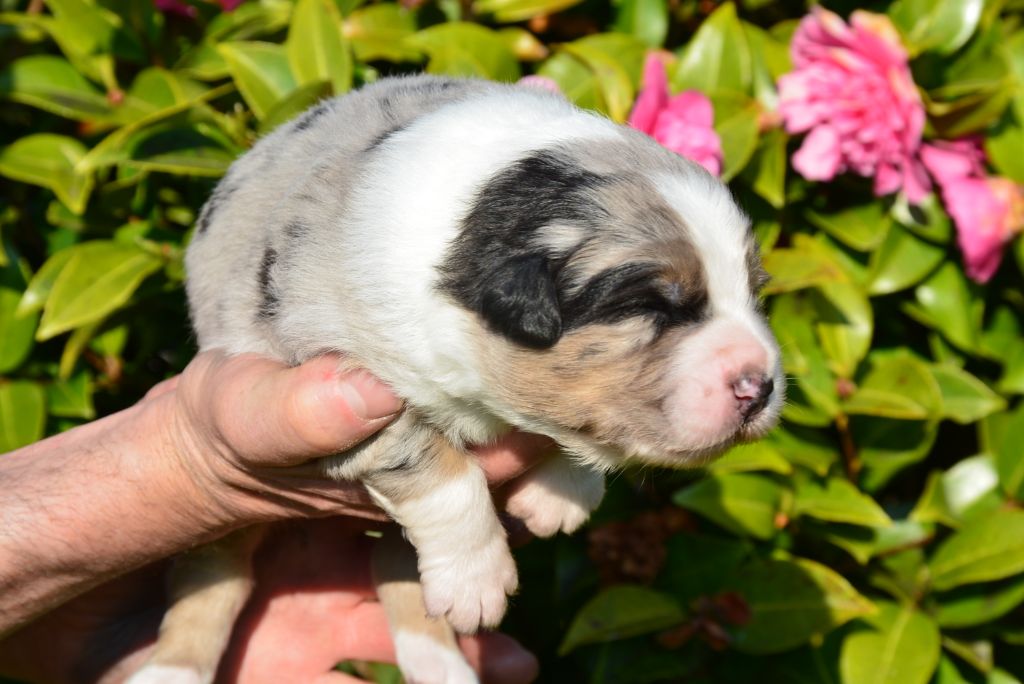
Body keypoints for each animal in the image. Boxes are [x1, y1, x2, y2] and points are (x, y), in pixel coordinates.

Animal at [128, 75, 783, 684]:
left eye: (755, 294)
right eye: (656, 307)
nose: (762, 388)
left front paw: (559, 494)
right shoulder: (351, 378)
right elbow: (443, 475)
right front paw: (478, 578)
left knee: (394, 573)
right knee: (215, 580)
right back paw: (172, 671)